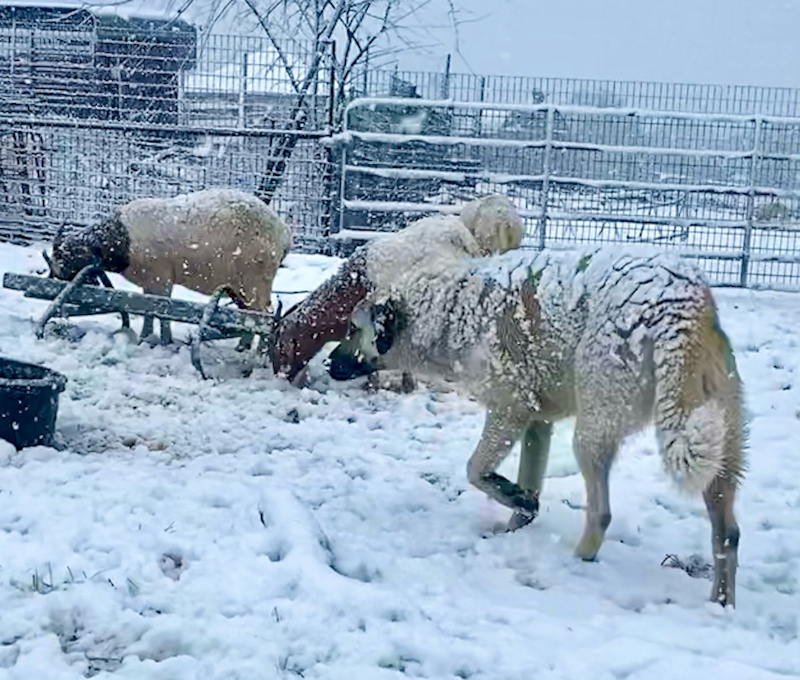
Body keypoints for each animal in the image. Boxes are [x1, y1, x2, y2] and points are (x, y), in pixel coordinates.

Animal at [48, 186, 290, 346]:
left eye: (63, 262)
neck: (123, 239)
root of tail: (283, 233)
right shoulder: (149, 282)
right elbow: (148, 309)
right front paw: (149, 337)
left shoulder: (160, 277)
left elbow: (160, 310)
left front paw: (159, 340)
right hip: (239, 286)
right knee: (249, 314)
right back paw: (243, 346)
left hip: (254, 281)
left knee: (265, 315)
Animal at [340, 247, 748, 608]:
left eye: (352, 329)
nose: (330, 363)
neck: (450, 309)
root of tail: (680, 303)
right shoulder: (539, 422)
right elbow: (528, 483)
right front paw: (519, 514)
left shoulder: (510, 411)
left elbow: (475, 470)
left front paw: (515, 498)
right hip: (720, 445)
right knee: (728, 534)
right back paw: (721, 605)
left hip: (592, 431)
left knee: (602, 513)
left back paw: (578, 561)